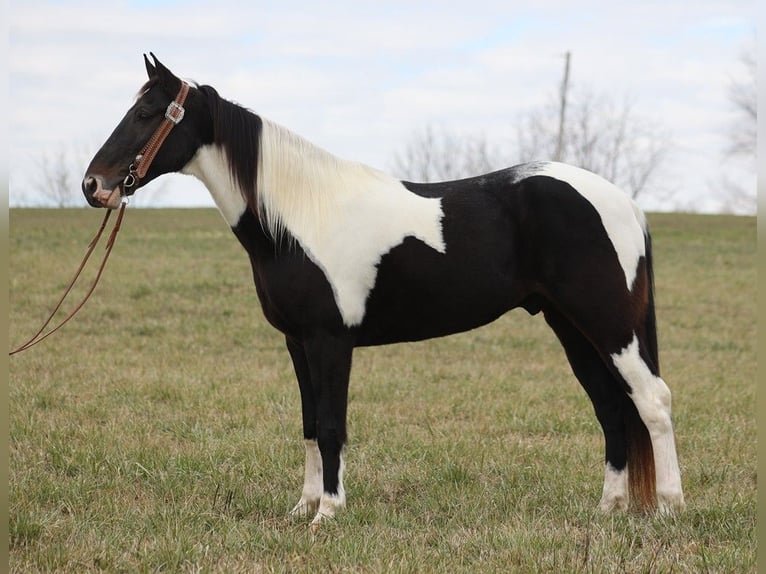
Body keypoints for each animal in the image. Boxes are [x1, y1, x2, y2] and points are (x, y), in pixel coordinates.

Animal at [82, 55, 684, 532]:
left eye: (146, 113)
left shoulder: (330, 340)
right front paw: (303, 508)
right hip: (572, 327)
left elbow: (331, 426)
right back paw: (606, 510)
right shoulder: (297, 343)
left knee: (651, 400)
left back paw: (670, 508)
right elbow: (309, 424)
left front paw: (328, 513)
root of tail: (624, 203)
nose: (93, 185)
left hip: (609, 325)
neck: (297, 218)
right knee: (611, 407)